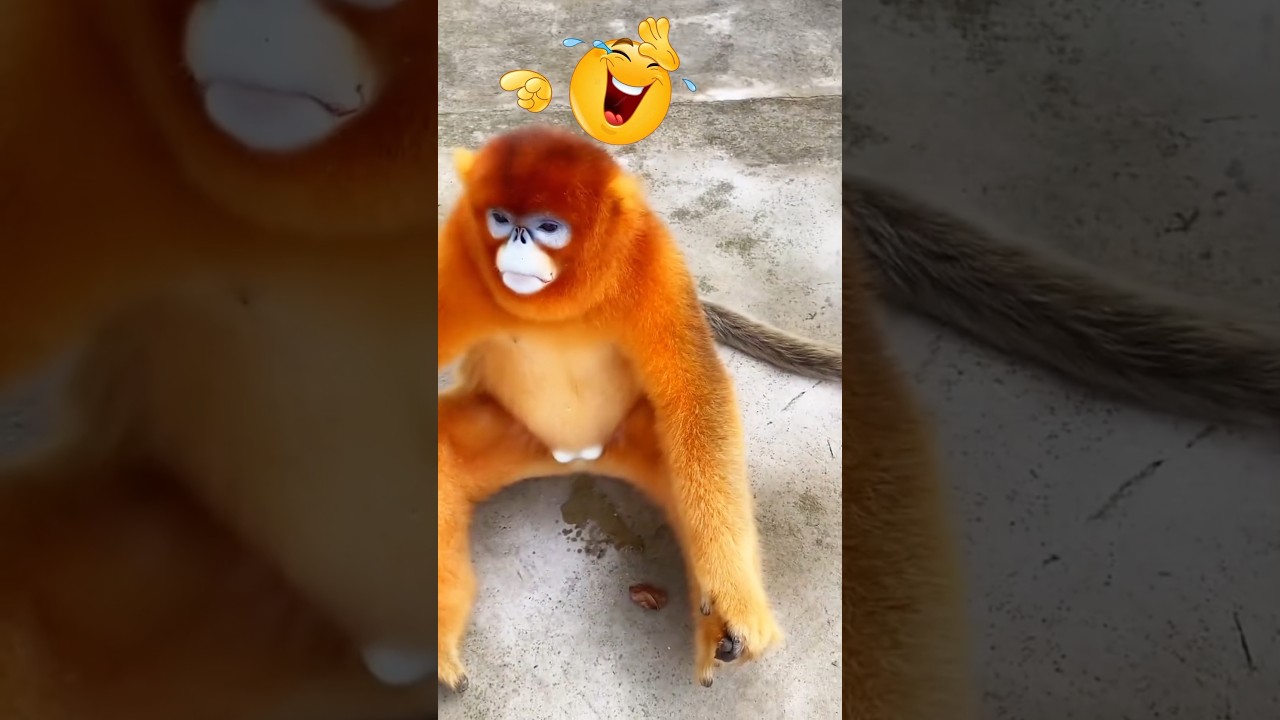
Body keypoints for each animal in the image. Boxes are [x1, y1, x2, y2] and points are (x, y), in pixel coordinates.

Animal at [436, 125, 784, 691]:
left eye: (547, 227)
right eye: (500, 219)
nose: (518, 241)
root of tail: (575, 456)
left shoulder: (650, 260)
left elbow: (696, 393)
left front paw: (731, 603)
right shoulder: (457, 259)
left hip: (633, 436)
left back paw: (721, 622)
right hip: (511, 434)